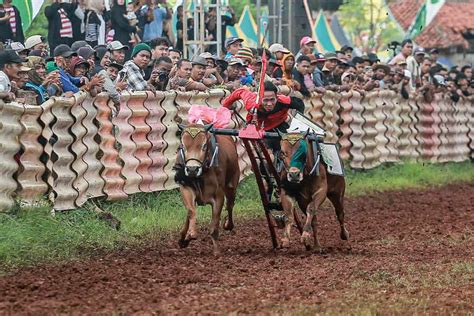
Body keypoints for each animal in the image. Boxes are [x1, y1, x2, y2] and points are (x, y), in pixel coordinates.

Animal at [175, 123, 241, 254]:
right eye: (183, 146)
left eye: (204, 145)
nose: (192, 169)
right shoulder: (186, 187)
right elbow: (191, 211)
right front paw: (189, 234)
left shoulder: (218, 197)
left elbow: (214, 226)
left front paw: (216, 252)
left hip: (232, 185)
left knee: (230, 205)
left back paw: (228, 224)